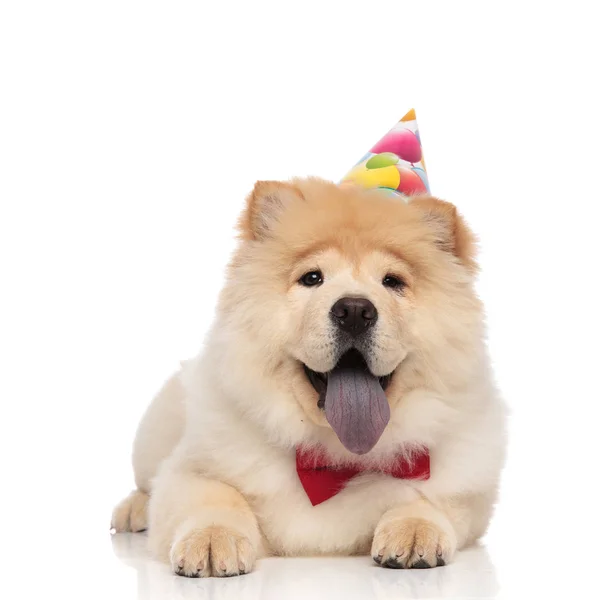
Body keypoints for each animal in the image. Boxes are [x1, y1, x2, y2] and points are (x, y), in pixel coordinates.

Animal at [110, 177, 504, 576]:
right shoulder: (190, 469)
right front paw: (212, 538)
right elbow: (214, 497)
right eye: (312, 278)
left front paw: (414, 532)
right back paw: (132, 511)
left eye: (392, 282)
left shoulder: (466, 490)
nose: (355, 310)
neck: (329, 461)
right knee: (145, 483)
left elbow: (425, 500)